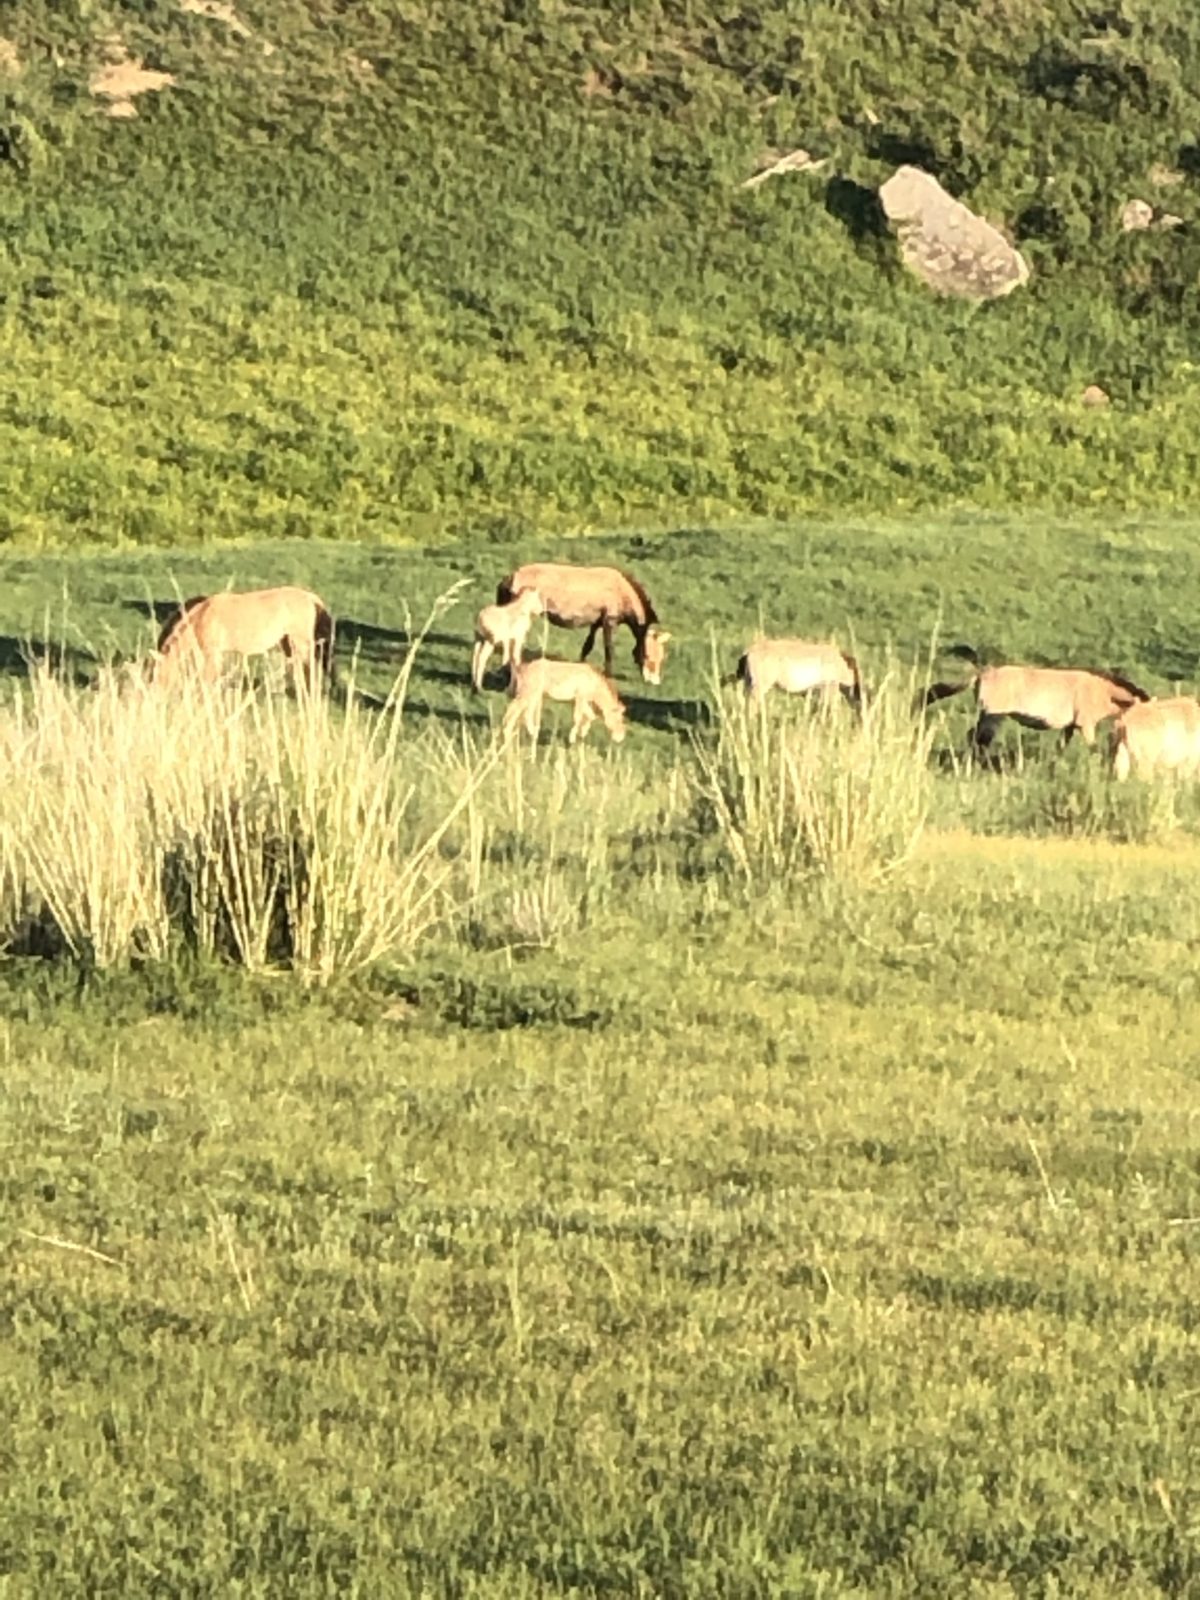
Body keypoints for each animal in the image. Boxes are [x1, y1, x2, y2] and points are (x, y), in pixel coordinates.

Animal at [155, 588, 336, 688]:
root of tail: (310, 597)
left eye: (157, 674)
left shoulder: (212, 654)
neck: (201, 618)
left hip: (301, 642)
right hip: (288, 643)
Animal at [492, 563, 672, 681]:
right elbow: (609, 649)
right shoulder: (609, 621)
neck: (622, 591)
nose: (654, 681)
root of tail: (510, 578)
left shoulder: (597, 622)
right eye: (649, 655)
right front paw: (608, 675)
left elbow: (588, 645)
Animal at [502, 656, 630, 742]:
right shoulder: (580, 698)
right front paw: (572, 738)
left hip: (534, 696)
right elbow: (580, 717)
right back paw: (515, 731)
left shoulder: (583, 701)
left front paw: (582, 733)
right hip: (529, 694)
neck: (594, 682)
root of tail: (523, 668)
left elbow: (590, 716)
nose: (620, 738)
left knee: (521, 711)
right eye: (620, 719)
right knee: (517, 709)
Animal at [928, 643, 1152, 755]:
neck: (1101, 689)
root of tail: (984, 671)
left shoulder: (1070, 727)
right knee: (979, 739)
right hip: (993, 715)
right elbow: (1094, 749)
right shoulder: (1086, 725)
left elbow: (1060, 748)